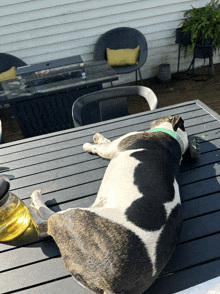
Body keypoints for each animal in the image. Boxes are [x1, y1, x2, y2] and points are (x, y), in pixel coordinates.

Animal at [28, 116, 199, 292]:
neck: (176, 139)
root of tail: (111, 288)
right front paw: (98, 137)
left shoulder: (111, 148)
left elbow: (100, 147)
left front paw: (90, 144)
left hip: (71, 217)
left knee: (43, 225)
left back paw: (35, 202)